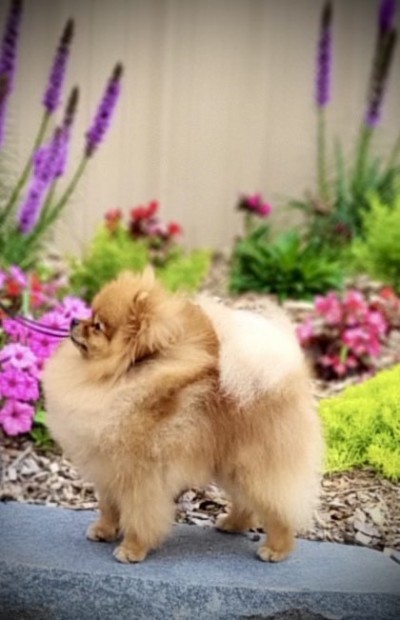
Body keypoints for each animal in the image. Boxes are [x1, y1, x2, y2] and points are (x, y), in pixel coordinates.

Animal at [42, 267, 323, 563]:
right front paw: (104, 530)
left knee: (276, 507)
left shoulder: (139, 475)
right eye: (90, 315)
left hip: (254, 467)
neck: (119, 378)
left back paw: (276, 549)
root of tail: (287, 381)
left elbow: (139, 515)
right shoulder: (107, 467)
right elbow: (108, 506)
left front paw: (132, 549)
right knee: (246, 502)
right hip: (231, 466)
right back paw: (232, 524)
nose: (74, 319)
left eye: (98, 326)